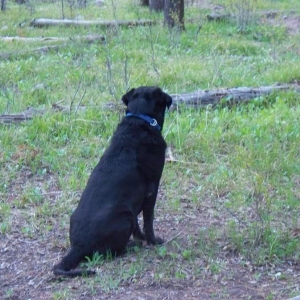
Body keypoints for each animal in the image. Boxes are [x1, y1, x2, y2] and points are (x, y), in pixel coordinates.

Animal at [52, 86, 172, 276]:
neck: (139, 121)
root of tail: (77, 247)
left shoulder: (135, 202)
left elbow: (138, 225)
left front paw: (142, 237)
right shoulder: (151, 190)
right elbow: (148, 221)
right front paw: (152, 240)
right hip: (124, 217)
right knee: (112, 251)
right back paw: (132, 245)